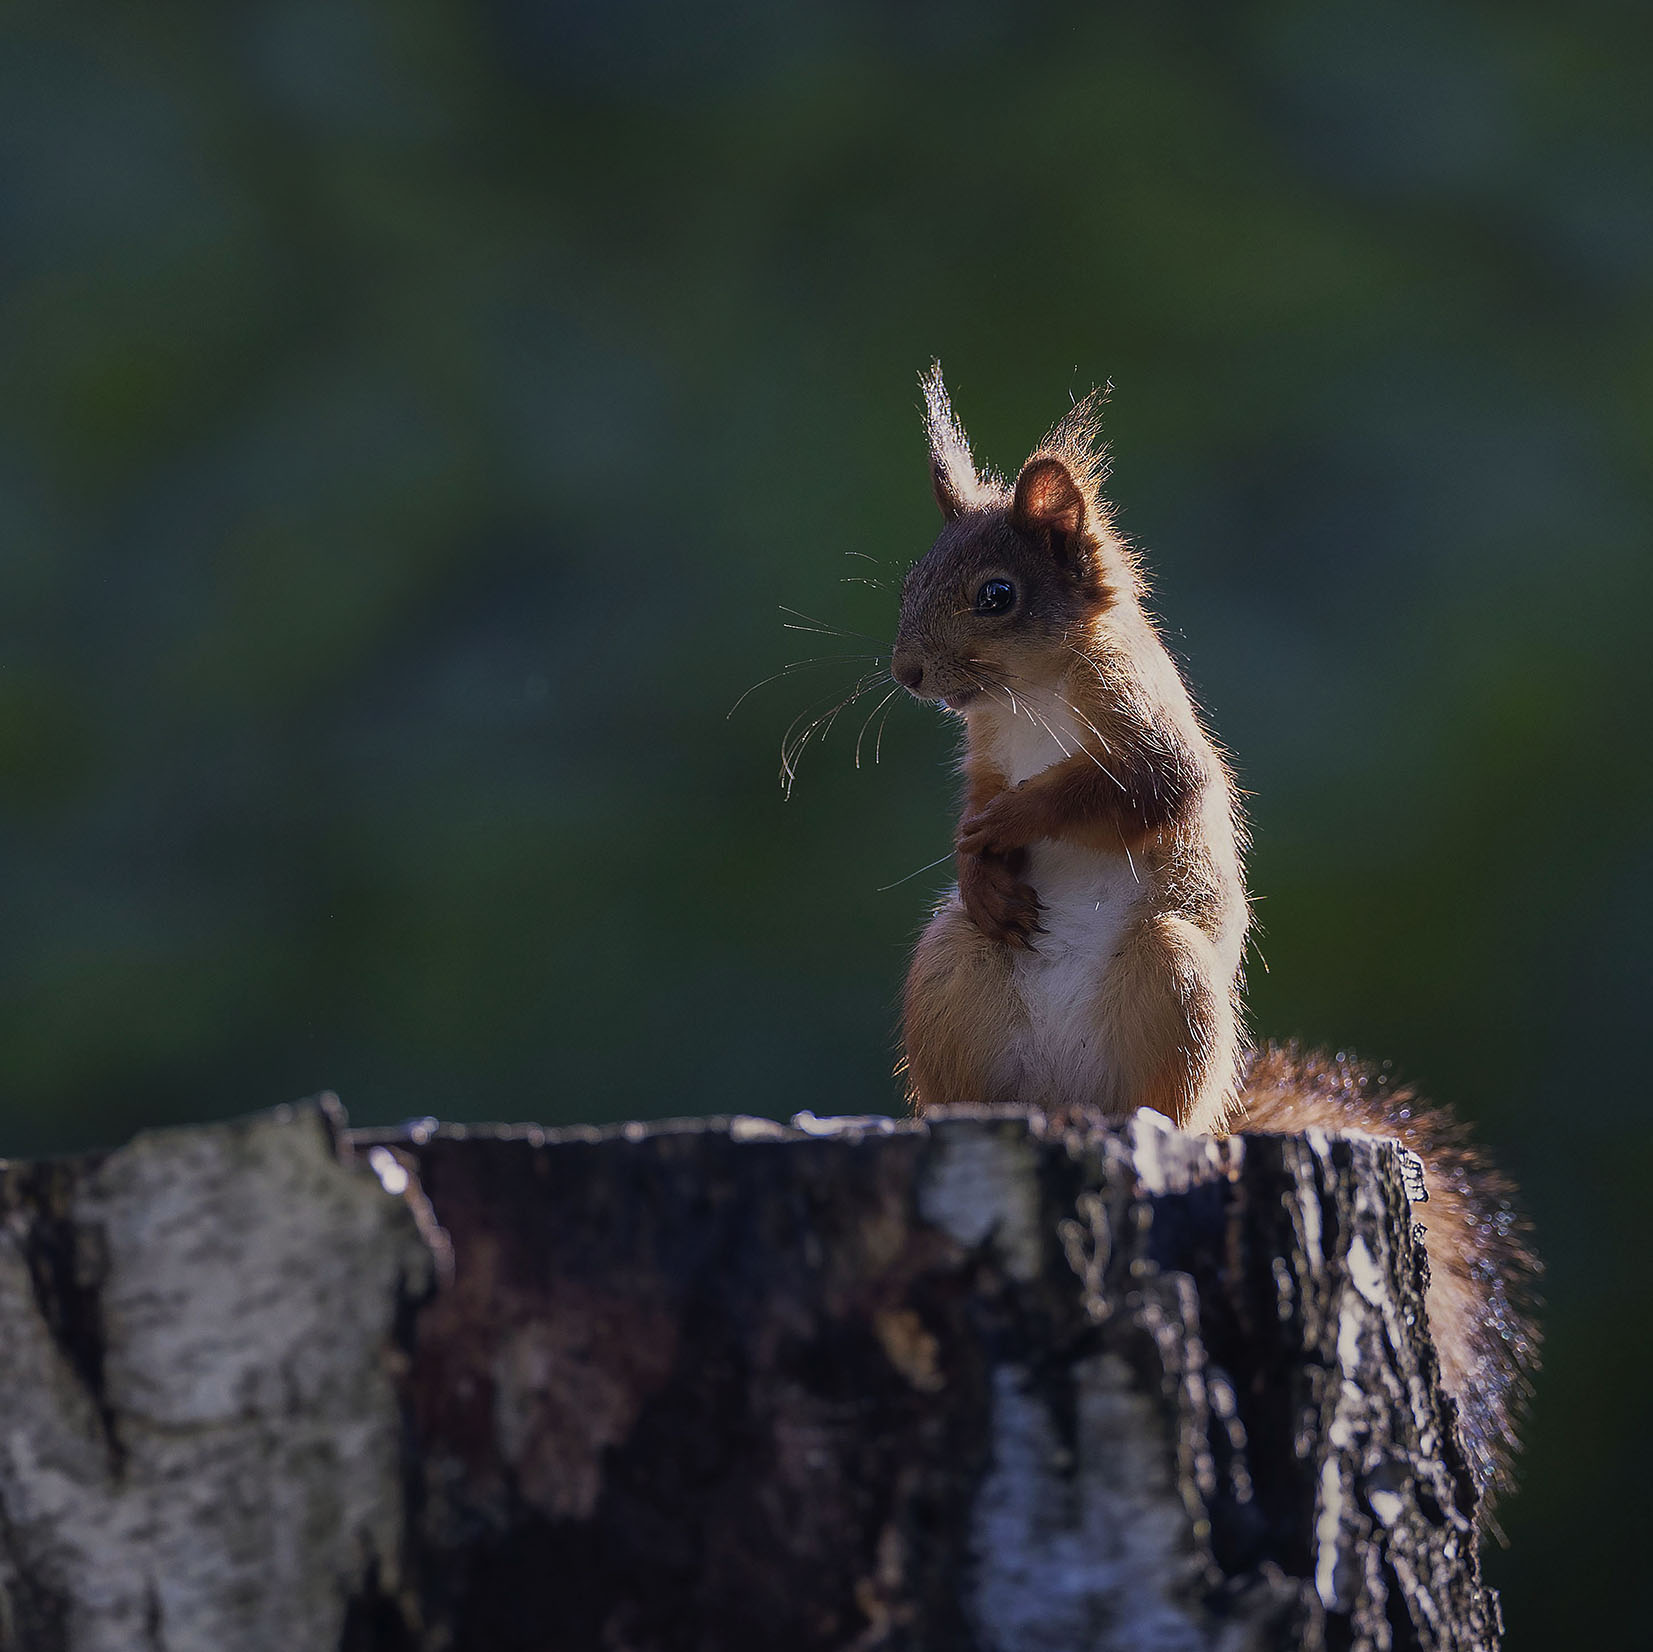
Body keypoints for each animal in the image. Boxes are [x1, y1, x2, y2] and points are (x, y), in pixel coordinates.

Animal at [892, 368, 1533, 1514]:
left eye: (996, 594)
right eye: (917, 573)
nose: (906, 672)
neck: (1031, 695)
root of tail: (1065, 1102)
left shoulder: (1147, 740)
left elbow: (1128, 792)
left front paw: (1008, 825)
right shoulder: (984, 753)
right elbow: (979, 807)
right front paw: (977, 857)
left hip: (1172, 973)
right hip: (950, 972)